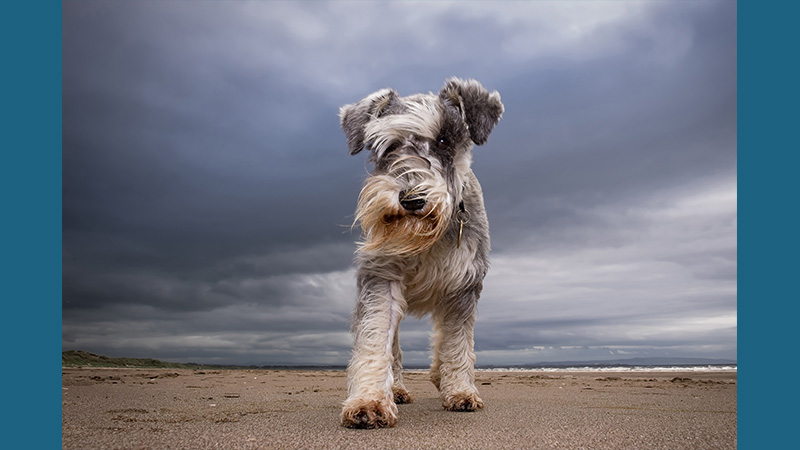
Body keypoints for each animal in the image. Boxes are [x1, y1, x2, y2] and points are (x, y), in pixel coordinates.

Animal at [340, 78, 504, 428]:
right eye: (387, 147)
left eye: (443, 140)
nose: (411, 199)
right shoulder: (381, 278)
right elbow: (375, 338)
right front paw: (369, 400)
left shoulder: (462, 288)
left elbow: (456, 341)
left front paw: (460, 390)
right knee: (395, 351)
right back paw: (399, 389)